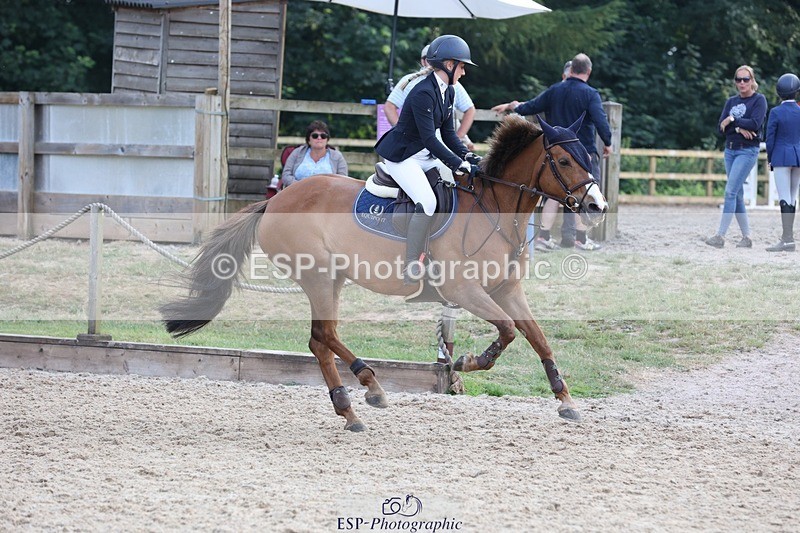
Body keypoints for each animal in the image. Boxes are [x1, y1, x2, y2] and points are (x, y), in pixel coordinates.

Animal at [160, 114, 608, 432]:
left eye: (588, 157)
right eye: (563, 160)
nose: (596, 207)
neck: (495, 209)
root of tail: (275, 201)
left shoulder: (507, 289)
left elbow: (538, 338)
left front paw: (566, 400)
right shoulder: (463, 289)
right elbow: (509, 331)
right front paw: (466, 362)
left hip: (333, 278)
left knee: (319, 339)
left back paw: (350, 408)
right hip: (318, 275)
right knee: (325, 335)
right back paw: (369, 389)